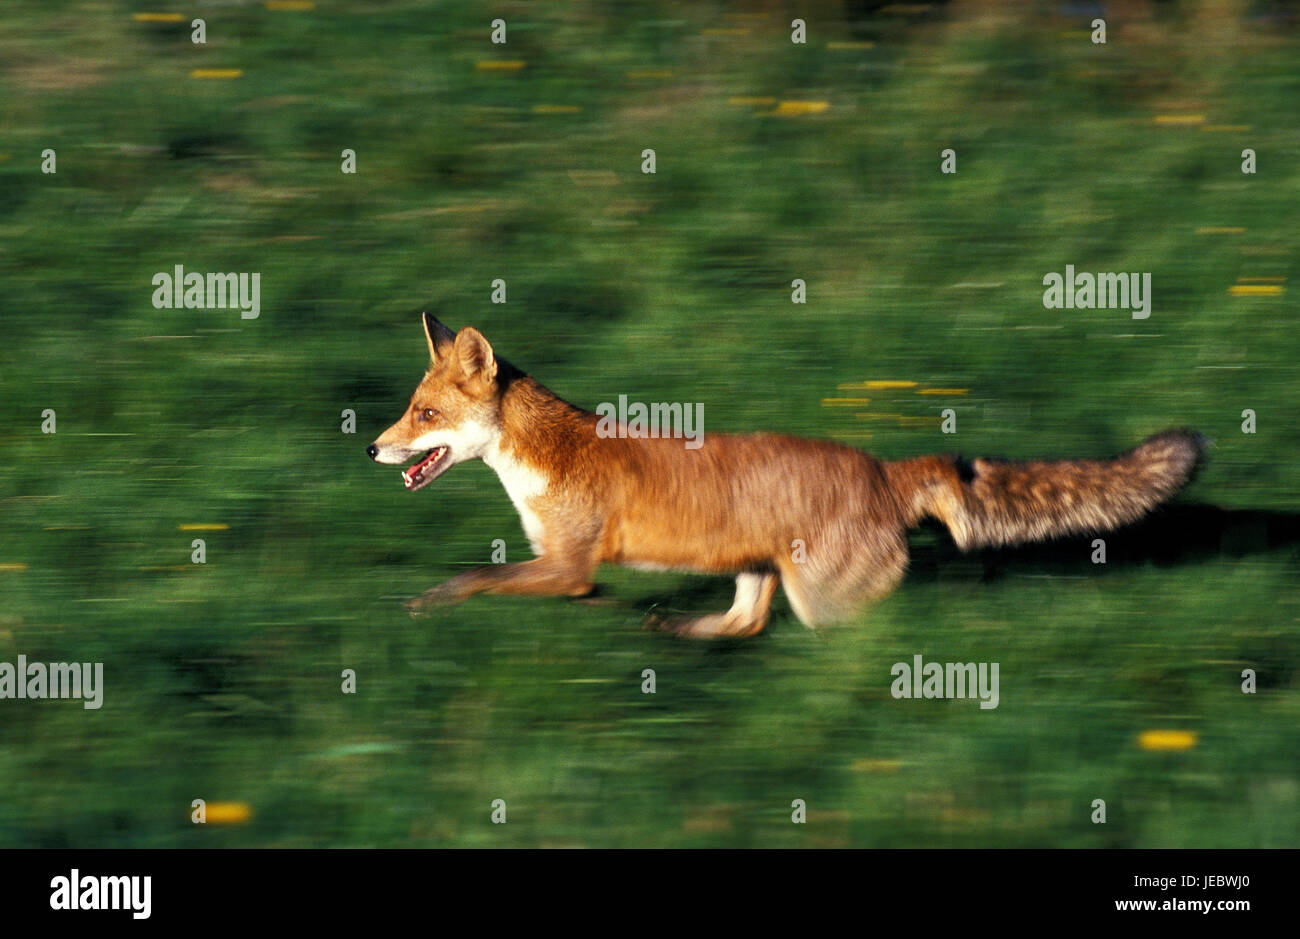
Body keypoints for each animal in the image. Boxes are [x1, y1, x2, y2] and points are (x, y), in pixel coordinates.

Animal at [366, 314, 1206, 637]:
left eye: (424, 414)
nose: (372, 449)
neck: (542, 463)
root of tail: (883, 468)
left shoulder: (567, 564)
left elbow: (474, 578)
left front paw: (424, 603)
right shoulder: (568, 569)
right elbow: (558, 592)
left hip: (821, 601)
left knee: (876, 629)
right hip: (760, 570)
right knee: (742, 621)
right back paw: (678, 632)